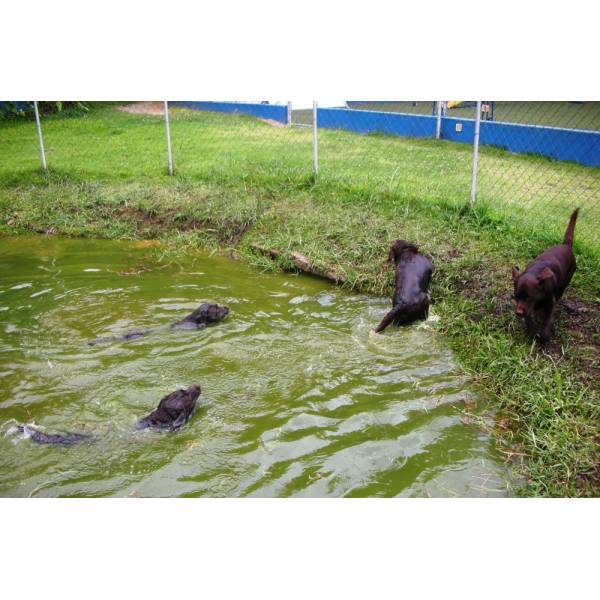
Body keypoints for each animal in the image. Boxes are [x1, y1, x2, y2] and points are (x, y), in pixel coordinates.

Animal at [512, 207, 580, 342]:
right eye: (516, 296)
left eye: (529, 297)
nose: (518, 313)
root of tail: (566, 245)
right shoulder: (527, 309)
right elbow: (528, 319)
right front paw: (531, 331)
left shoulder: (550, 303)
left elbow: (547, 320)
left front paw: (544, 335)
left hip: (564, 285)